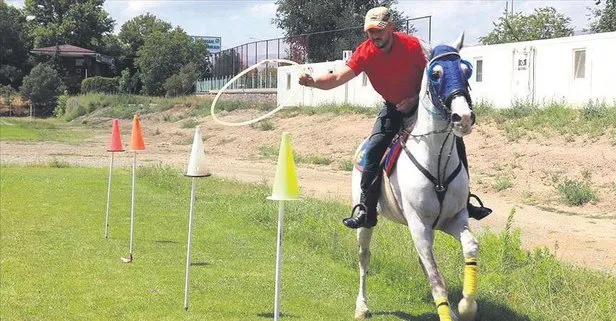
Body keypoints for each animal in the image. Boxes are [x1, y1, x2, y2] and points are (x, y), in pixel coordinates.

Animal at [354, 33, 478, 320]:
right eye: (436, 74)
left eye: (467, 70)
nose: (464, 117)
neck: (435, 158)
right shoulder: (419, 224)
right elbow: (437, 279)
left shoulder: (454, 219)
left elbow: (470, 246)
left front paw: (466, 306)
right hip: (366, 223)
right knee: (364, 258)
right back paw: (361, 306)